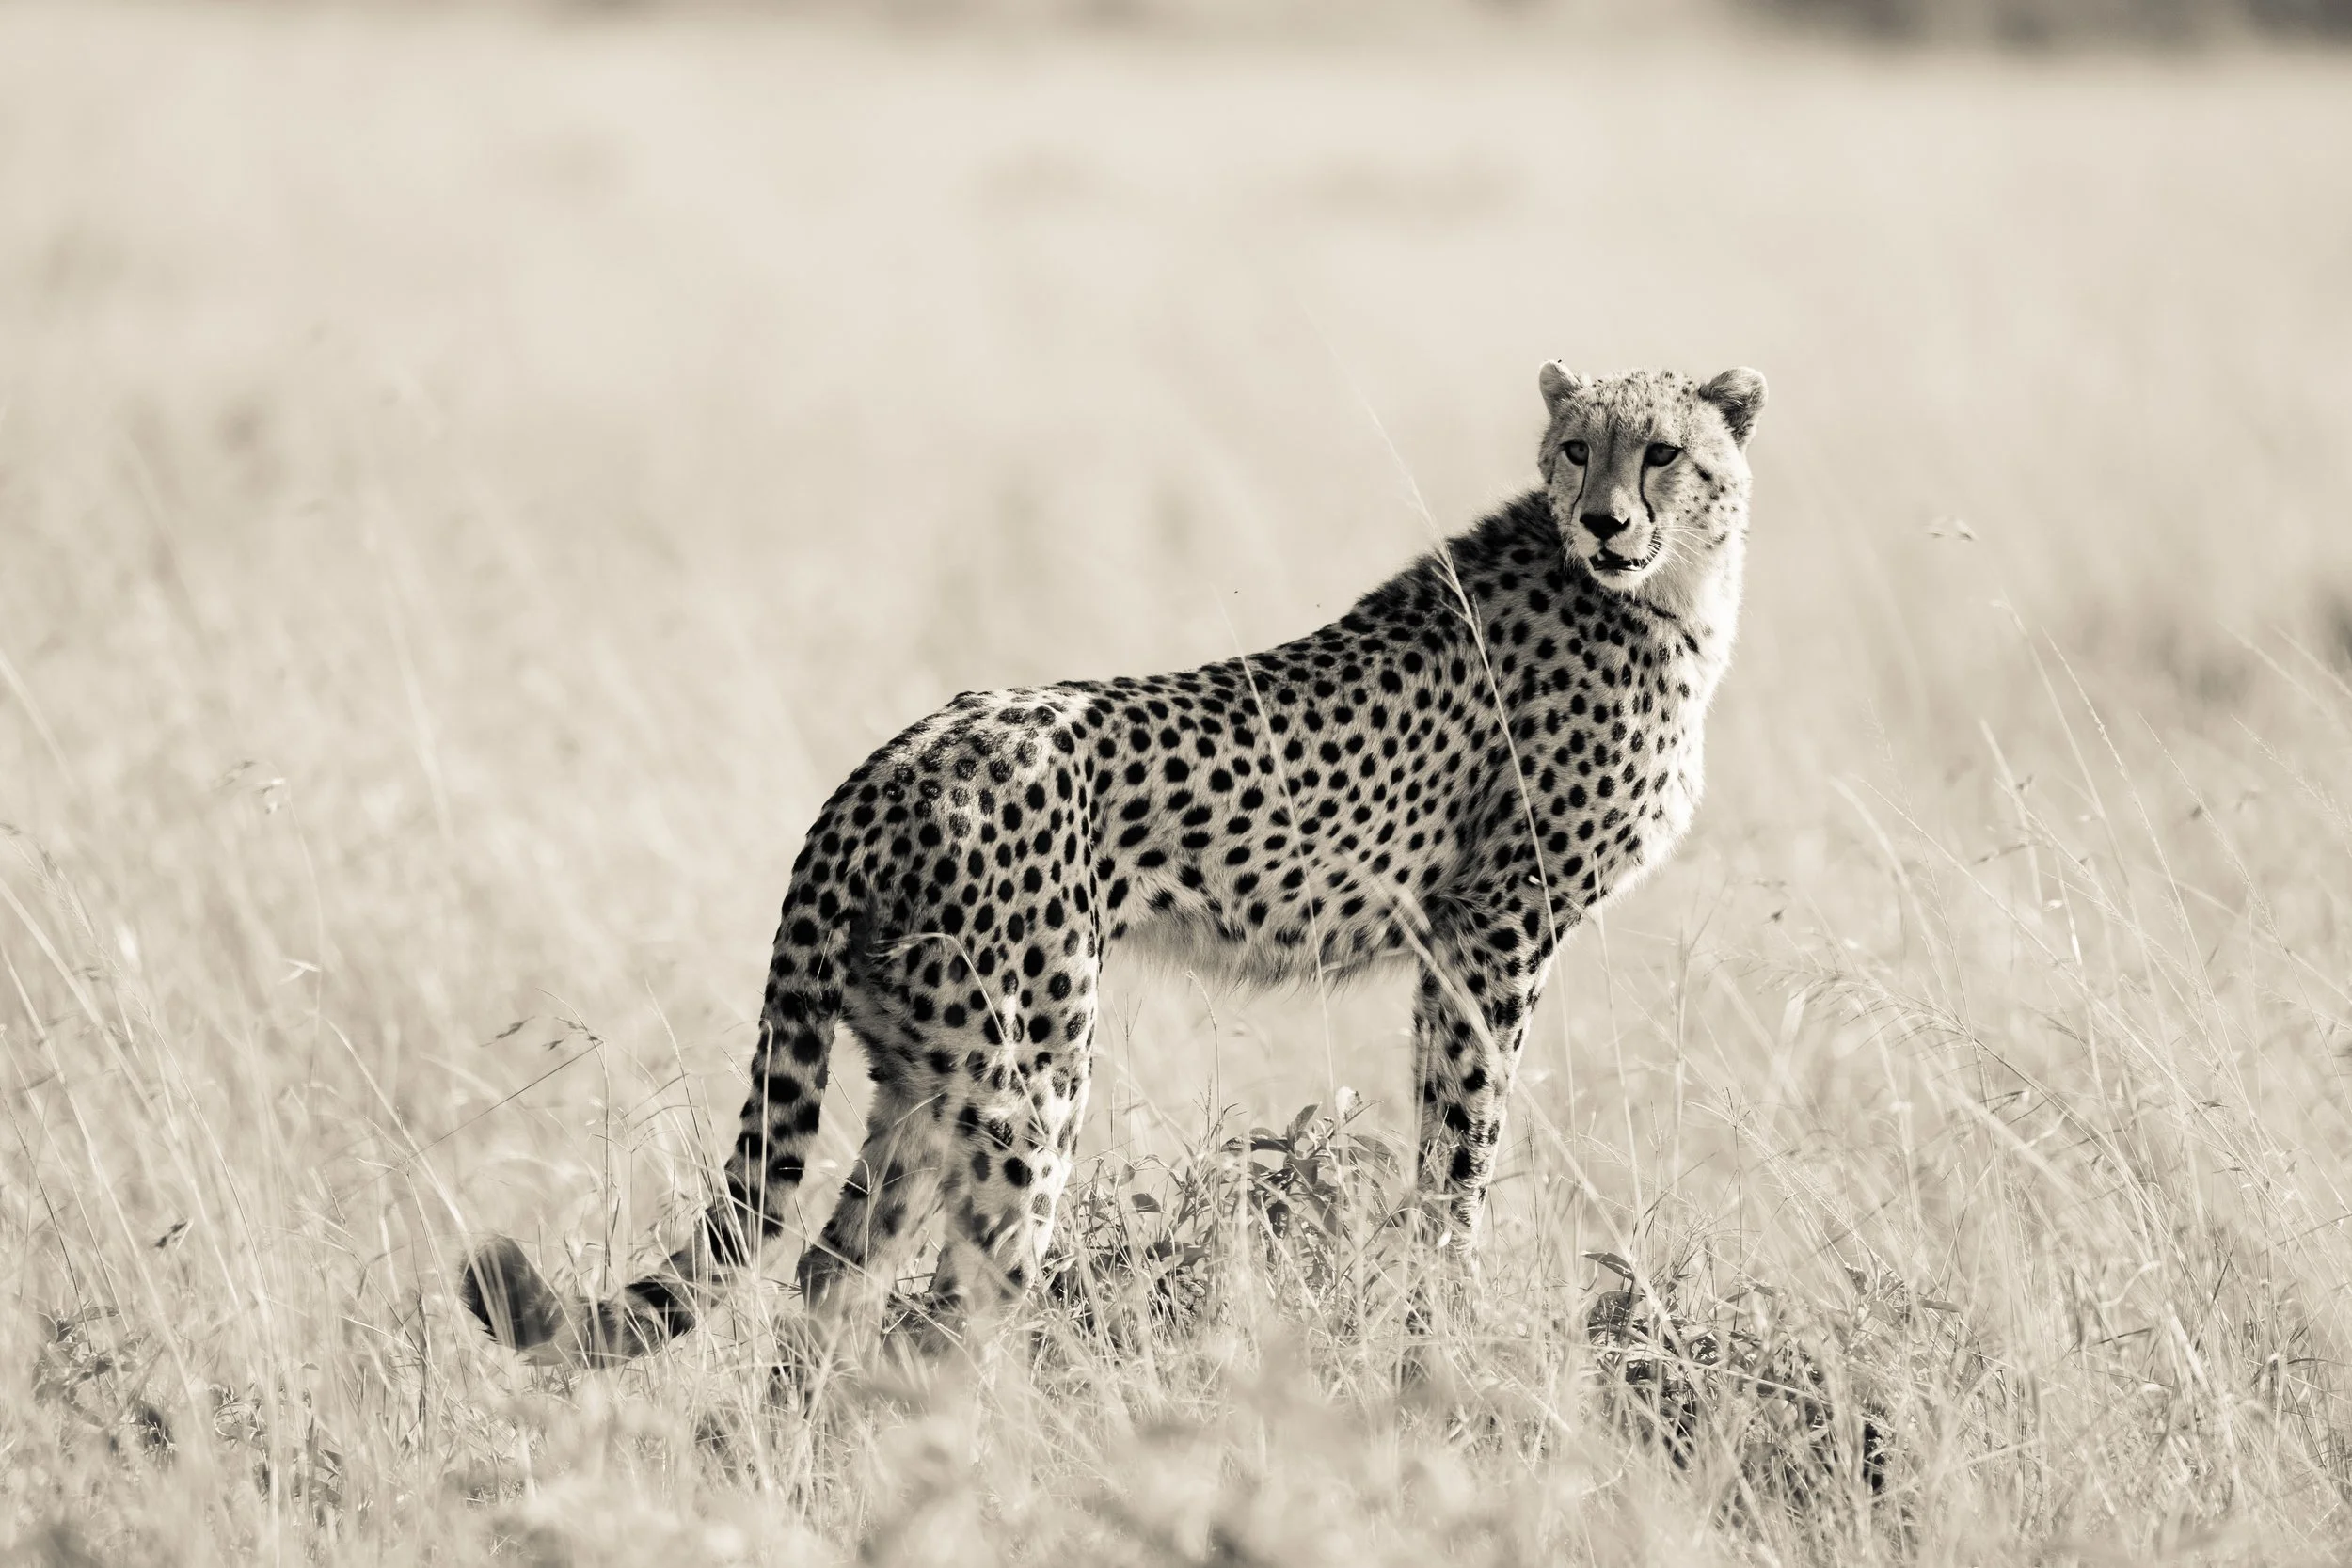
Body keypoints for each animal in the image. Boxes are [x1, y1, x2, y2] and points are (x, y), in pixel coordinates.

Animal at [460, 361, 1767, 1368]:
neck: (1662, 589)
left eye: (1661, 453)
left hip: (921, 1075)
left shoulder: (1469, 934)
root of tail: (888, 763)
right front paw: (1449, 1313)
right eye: (1575, 449)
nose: (1603, 520)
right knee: (950, 1301)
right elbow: (1464, 1137)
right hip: (1024, 1077)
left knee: (835, 1273)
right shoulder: (1492, 926)